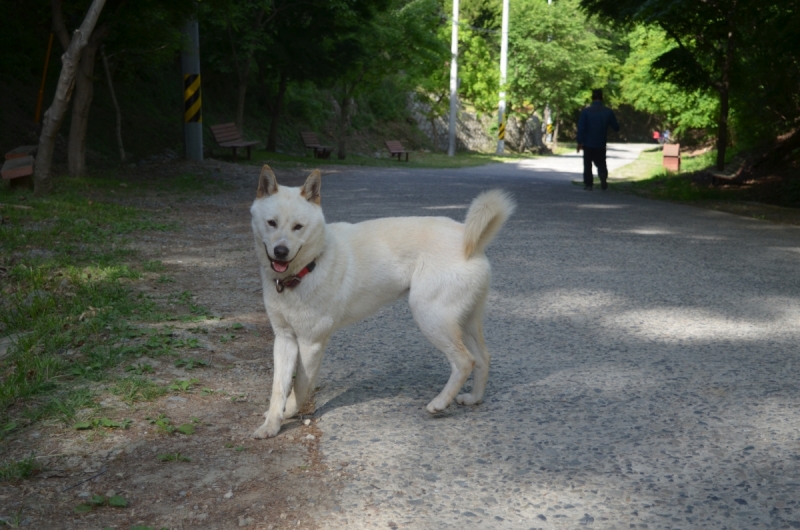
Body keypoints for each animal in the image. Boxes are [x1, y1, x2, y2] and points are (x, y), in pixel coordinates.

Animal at [248, 166, 512, 438]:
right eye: (271, 223)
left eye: (298, 227)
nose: (280, 252)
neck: (307, 268)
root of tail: (467, 240)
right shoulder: (284, 339)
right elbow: (278, 387)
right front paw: (272, 424)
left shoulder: (311, 343)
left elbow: (300, 385)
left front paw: (289, 412)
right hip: (464, 322)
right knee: (483, 358)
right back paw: (474, 398)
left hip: (431, 318)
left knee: (465, 361)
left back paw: (439, 403)